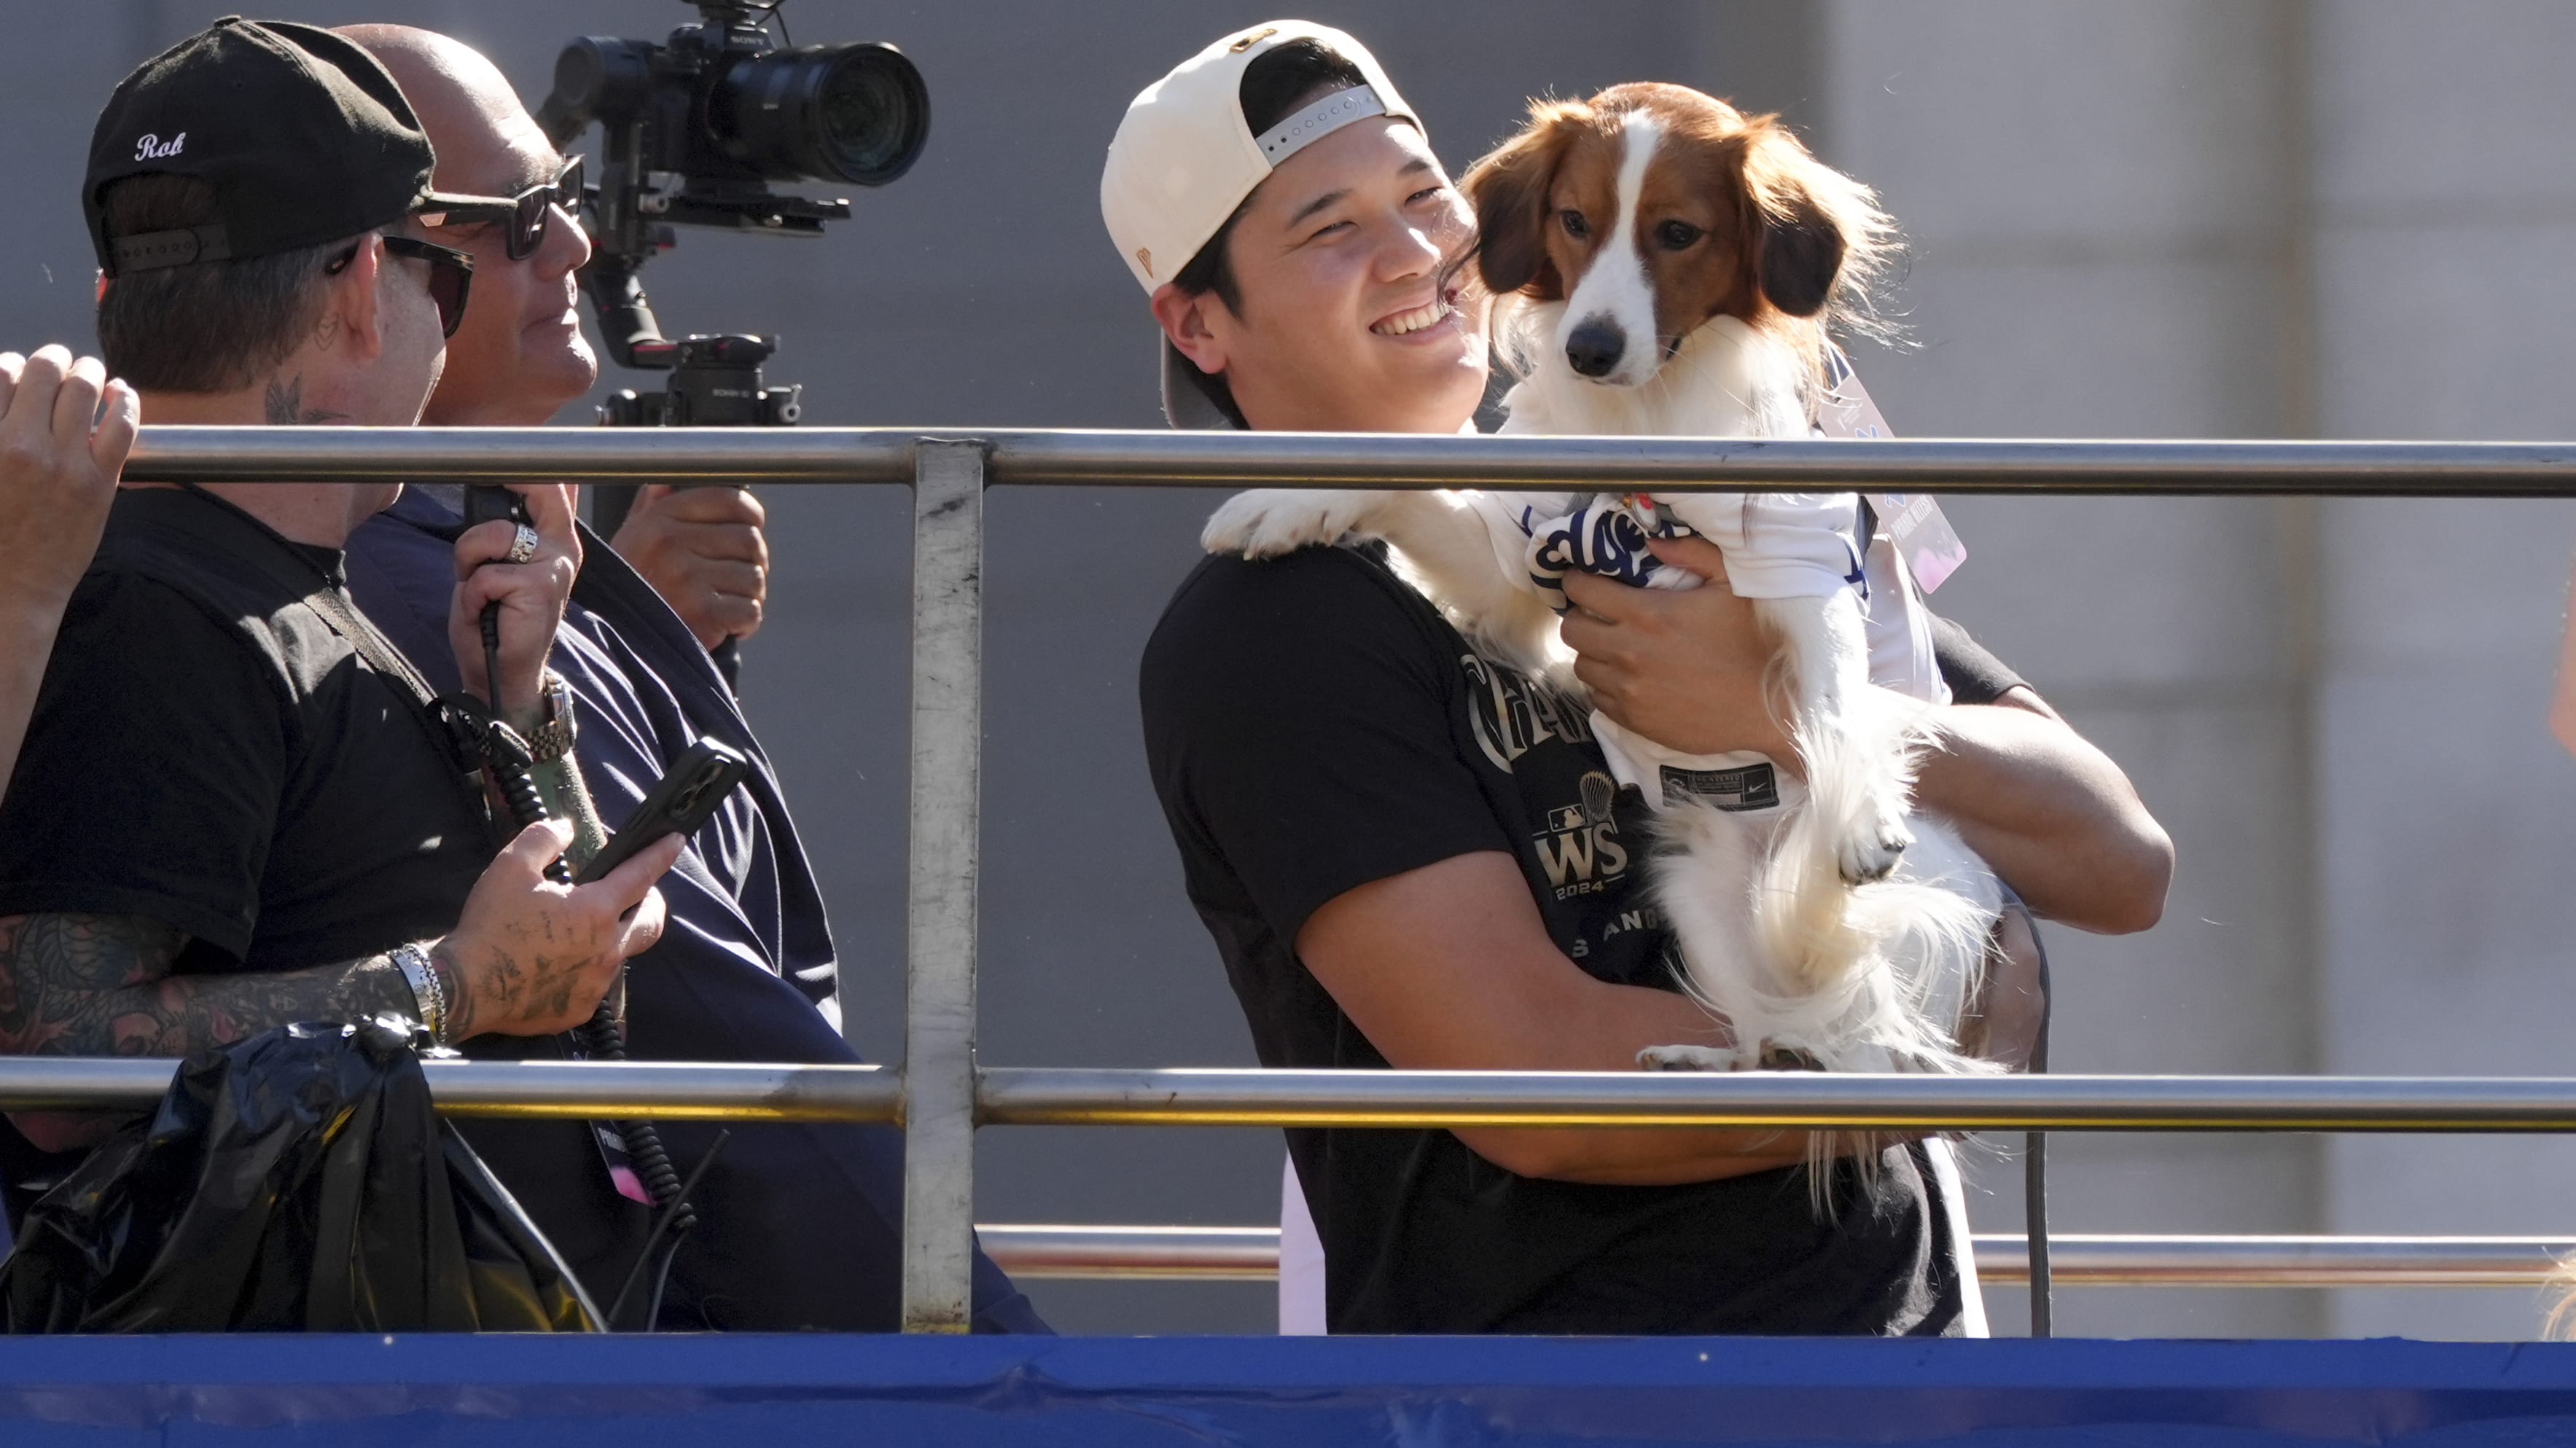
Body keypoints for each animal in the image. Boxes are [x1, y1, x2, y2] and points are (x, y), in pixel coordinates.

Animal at [1210, 84, 2009, 1092]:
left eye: (1678, 232)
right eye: (1574, 220)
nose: (1589, 347)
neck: (1646, 422)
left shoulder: (1800, 564)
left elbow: (1832, 701)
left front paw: (1860, 815)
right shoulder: (1509, 566)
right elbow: (1403, 489)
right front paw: (1281, 502)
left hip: (1925, 892)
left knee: (1868, 1049)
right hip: (1696, 887)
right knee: (1768, 1022)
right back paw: (1726, 1058)